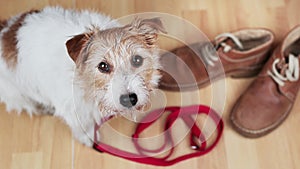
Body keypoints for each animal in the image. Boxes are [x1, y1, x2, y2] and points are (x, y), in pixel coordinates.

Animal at [0, 6, 164, 147]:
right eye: (103, 66)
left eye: (137, 60)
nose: (129, 99)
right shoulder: (72, 107)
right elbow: (82, 126)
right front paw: (89, 138)